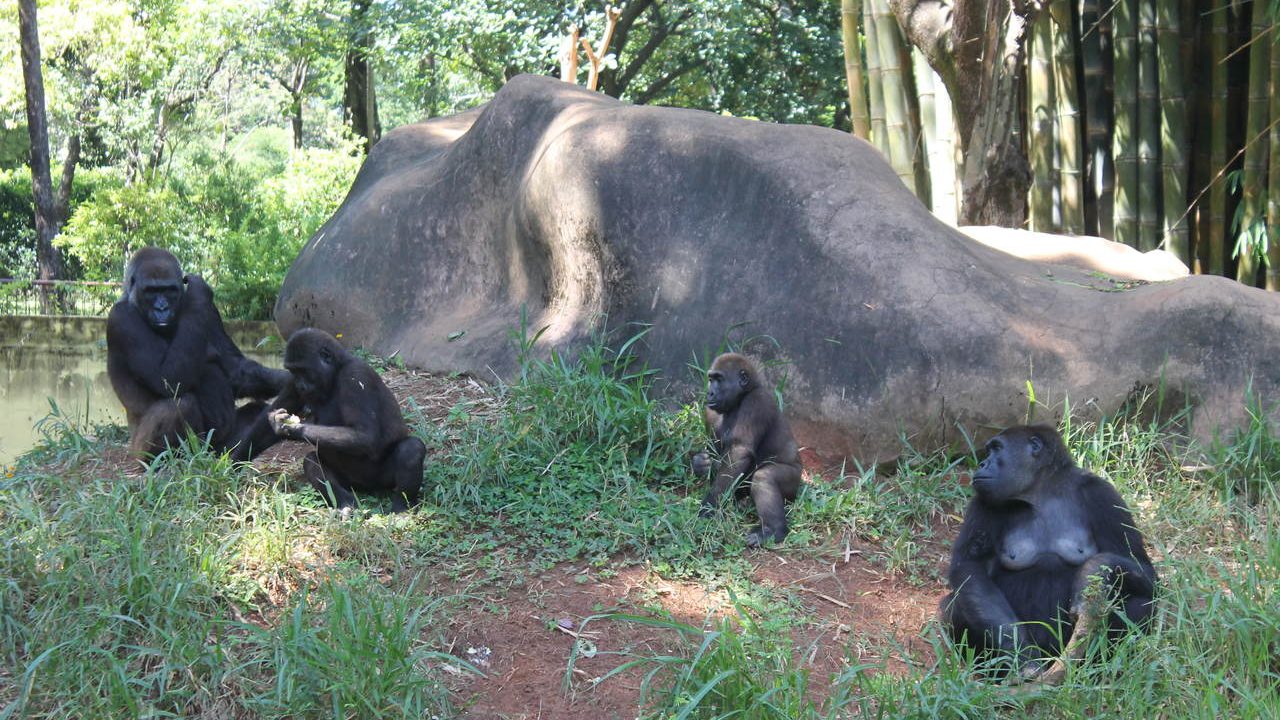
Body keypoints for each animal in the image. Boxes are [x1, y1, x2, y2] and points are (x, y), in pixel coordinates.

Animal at [106, 245, 291, 453]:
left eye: (169, 290)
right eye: (151, 291)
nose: (162, 308)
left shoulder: (210, 310)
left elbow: (236, 369)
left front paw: (288, 379)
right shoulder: (122, 318)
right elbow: (168, 379)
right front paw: (197, 290)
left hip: (220, 449)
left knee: (253, 412)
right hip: (139, 448)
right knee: (179, 404)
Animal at [232, 326, 427, 509]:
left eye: (303, 370)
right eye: (293, 371)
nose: (301, 385)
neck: (337, 369)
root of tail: (368, 488)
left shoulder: (355, 375)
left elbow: (365, 435)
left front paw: (293, 428)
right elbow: (266, 428)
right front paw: (234, 463)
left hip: (383, 481)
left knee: (411, 449)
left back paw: (400, 507)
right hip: (351, 484)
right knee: (311, 461)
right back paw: (345, 502)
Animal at [691, 351, 798, 543]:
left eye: (719, 379)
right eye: (711, 379)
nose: (709, 393)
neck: (741, 397)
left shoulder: (756, 402)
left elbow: (739, 452)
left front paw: (710, 504)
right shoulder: (710, 411)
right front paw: (700, 464)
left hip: (795, 482)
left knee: (764, 477)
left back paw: (773, 530)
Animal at [942, 422, 1162, 681]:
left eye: (996, 449)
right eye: (990, 451)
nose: (983, 464)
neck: (1042, 491)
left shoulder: (1103, 495)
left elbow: (1144, 570)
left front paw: (1092, 573)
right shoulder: (983, 501)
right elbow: (969, 570)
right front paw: (1020, 656)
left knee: (1142, 604)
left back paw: (1095, 672)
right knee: (955, 607)